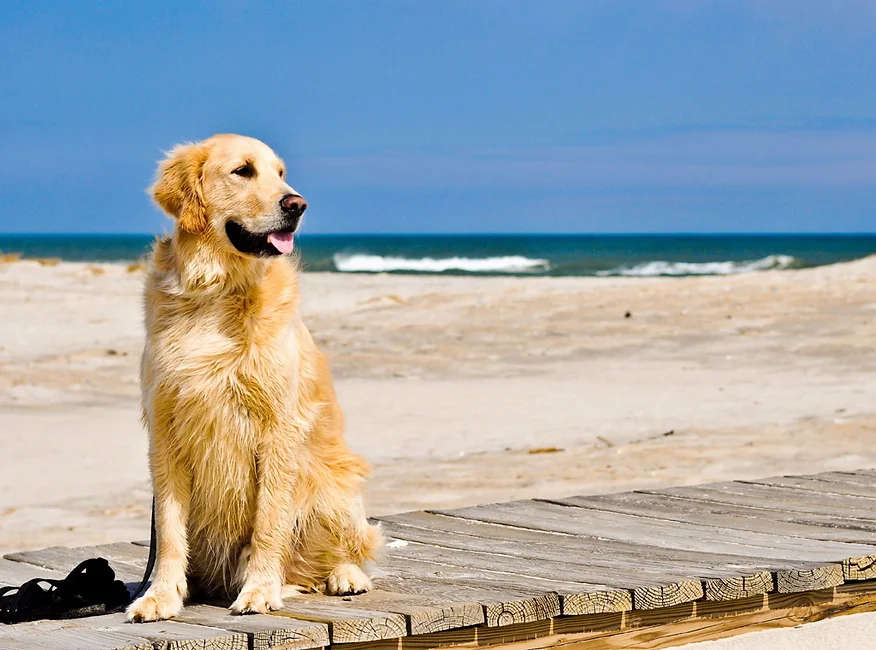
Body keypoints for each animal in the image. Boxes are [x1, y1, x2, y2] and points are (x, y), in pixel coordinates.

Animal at [127, 133, 384, 624]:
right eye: (243, 171)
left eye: (281, 173)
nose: (297, 204)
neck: (215, 291)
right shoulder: (164, 431)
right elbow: (168, 529)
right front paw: (161, 594)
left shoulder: (278, 429)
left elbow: (268, 522)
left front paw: (260, 590)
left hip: (334, 485)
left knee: (342, 550)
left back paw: (345, 576)